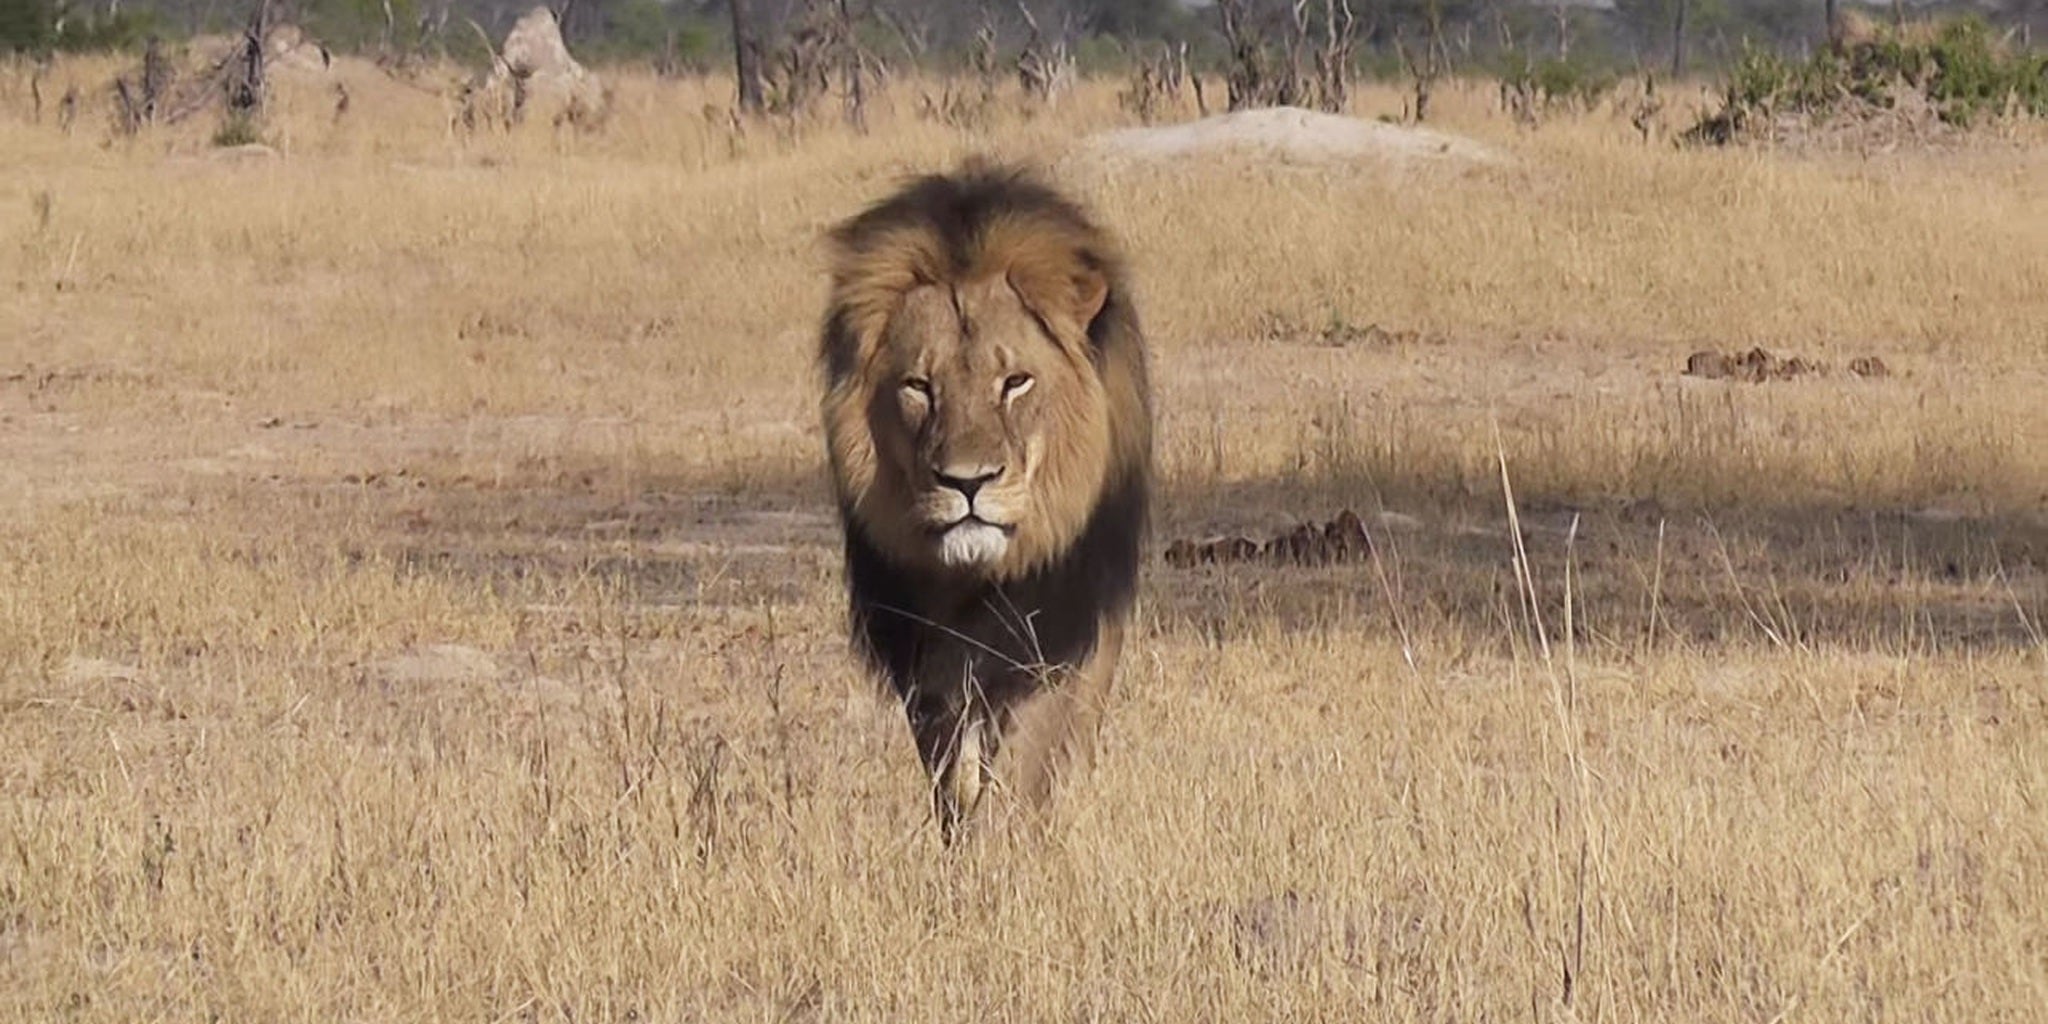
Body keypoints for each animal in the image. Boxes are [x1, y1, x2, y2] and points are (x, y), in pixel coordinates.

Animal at [817, 162, 1152, 841]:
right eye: (919, 386)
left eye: (1015, 382)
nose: (966, 483)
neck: (974, 580)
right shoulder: (925, 655)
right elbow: (950, 766)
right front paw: (962, 836)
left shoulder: (1056, 629)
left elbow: (1030, 756)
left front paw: (1011, 836)